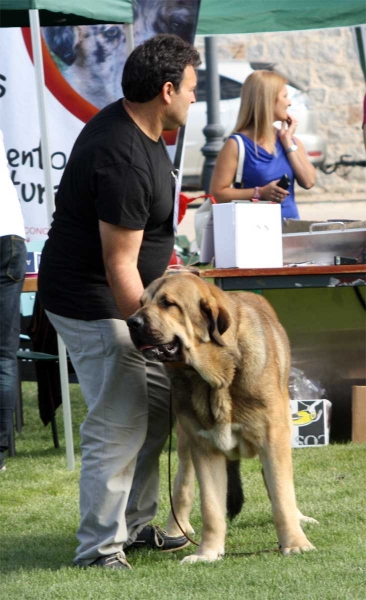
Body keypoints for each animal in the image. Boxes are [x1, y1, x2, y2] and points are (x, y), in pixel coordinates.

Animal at [127, 270, 316, 564]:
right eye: (141, 302)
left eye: (169, 304)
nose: (131, 322)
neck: (216, 378)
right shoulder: (205, 449)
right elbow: (211, 509)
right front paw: (207, 553)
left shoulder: (273, 441)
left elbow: (282, 496)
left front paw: (296, 543)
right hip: (185, 445)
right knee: (182, 487)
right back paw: (174, 531)